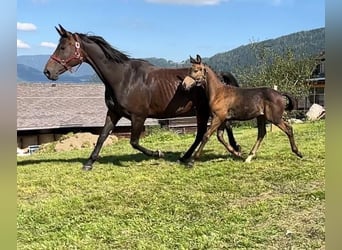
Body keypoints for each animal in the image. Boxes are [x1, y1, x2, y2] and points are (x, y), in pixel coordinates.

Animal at [43, 24, 240, 170]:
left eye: (62, 47)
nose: (47, 71)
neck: (123, 78)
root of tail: (218, 75)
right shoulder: (113, 113)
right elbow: (102, 136)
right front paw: (89, 163)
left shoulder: (138, 116)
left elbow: (134, 142)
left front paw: (157, 153)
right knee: (216, 129)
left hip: (203, 111)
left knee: (204, 133)